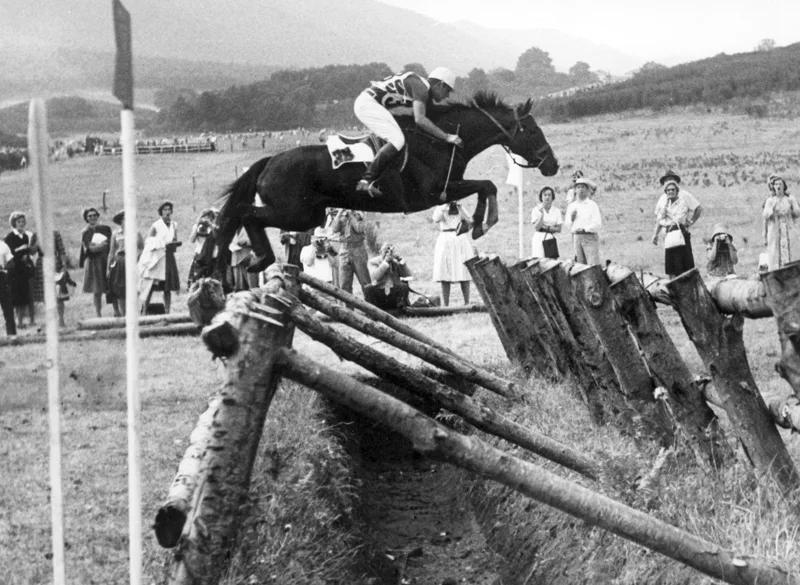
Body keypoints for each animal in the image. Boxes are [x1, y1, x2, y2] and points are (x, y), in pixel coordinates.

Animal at [216, 91, 560, 274]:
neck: (442, 140)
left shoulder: (447, 187)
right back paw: (259, 259)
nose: (553, 164)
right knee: (245, 214)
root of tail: (270, 161)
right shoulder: (434, 192)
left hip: (307, 215)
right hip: (295, 213)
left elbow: (486, 186)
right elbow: (487, 185)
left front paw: (474, 223)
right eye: (532, 130)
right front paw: (478, 224)